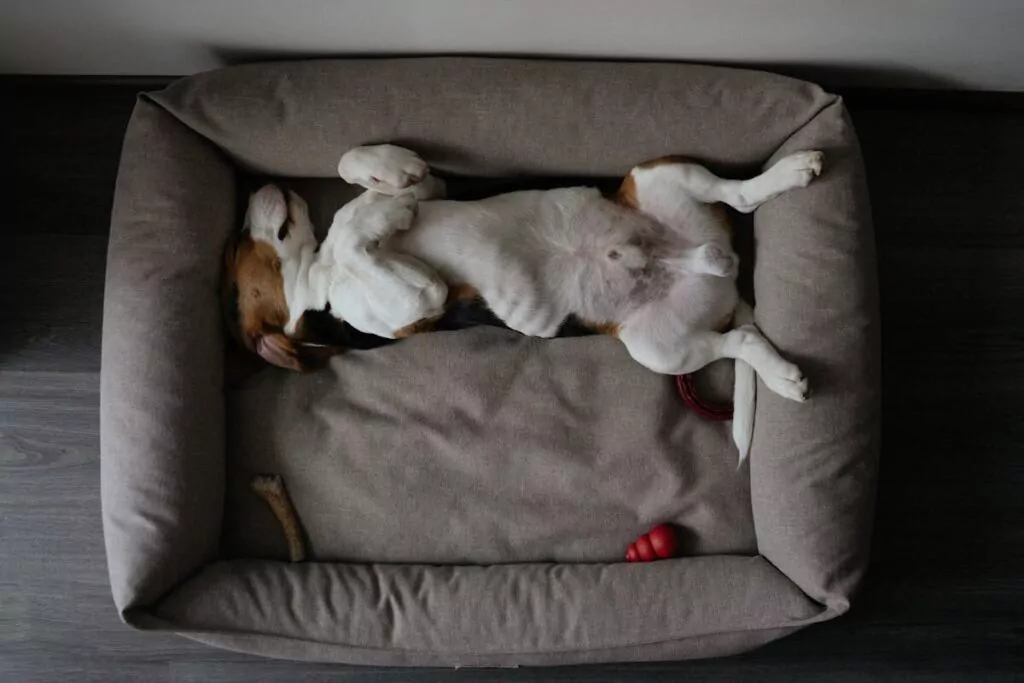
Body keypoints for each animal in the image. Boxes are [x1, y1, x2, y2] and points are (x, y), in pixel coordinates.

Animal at [224, 146, 823, 462]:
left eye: (235, 249)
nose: (257, 189)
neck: (320, 276)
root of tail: (710, 265)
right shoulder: (424, 298)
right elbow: (362, 237)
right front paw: (383, 213)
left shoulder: (433, 192)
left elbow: (357, 171)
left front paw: (390, 176)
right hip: (659, 347)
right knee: (739, 338)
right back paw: (782, 374)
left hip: (662, 176)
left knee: (739, 194)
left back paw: (790, 172)